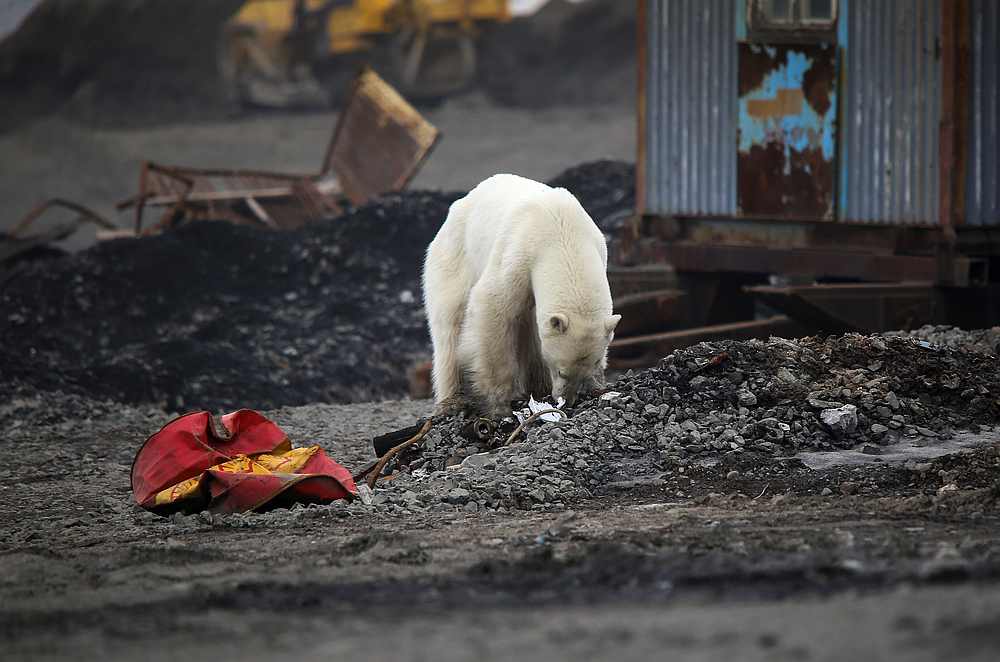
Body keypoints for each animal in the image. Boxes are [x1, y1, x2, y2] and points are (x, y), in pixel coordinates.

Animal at [422, 173, 621, 417]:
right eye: (562, 371)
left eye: (586, 369)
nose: (567, 400)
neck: (562, 232)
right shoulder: (519, 253)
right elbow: (492, 306)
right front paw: (499, 404)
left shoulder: (598, 247)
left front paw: (597, 384)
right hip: (454, 257)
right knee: (450, 324)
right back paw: (452, 400)